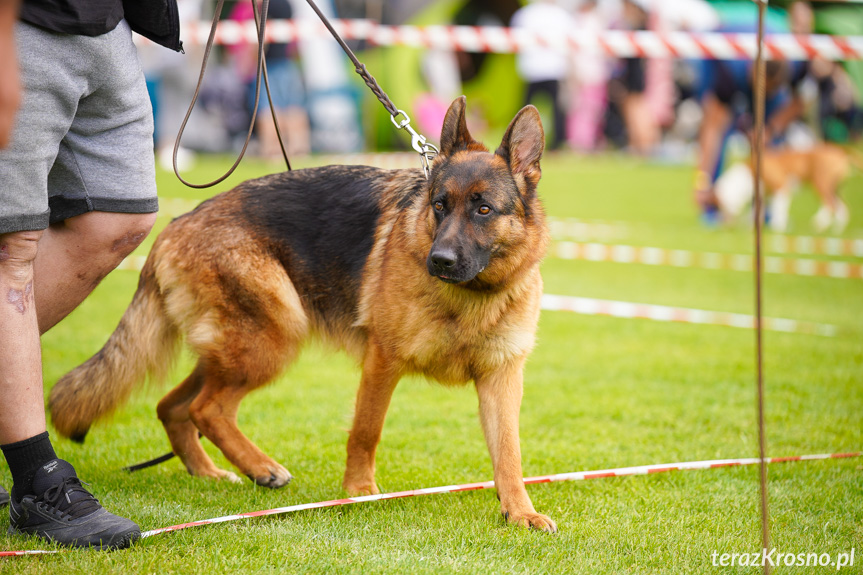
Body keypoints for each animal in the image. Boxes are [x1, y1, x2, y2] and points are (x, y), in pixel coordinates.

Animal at [49, 97, 560, 532]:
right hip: (272, 338)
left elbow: (509, 453)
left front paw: (520, 511)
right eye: (439, 206)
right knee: (205, 408)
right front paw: (360, 491)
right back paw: (261, 468)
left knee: (173, 406)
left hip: (237, 348)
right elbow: (366, 431)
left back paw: (211, 472)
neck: (474, 296)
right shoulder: (382, 362)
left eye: (484, 210)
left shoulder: (501, 379)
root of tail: (176, 224)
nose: (440, 261)